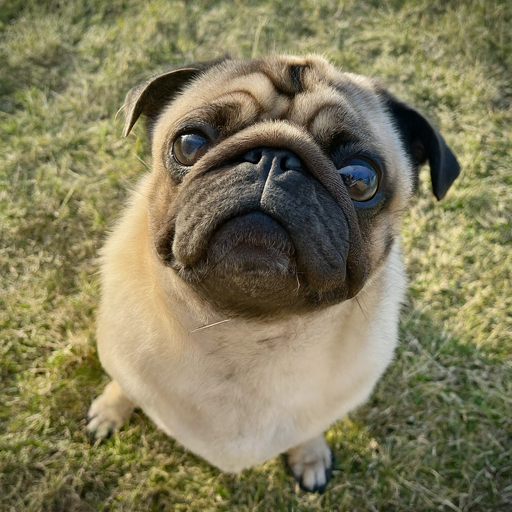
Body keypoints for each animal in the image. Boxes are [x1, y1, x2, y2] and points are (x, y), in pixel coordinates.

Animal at [85, 55, 460, 492]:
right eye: (189, 144)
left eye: (360, 178)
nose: (274, 159)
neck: (245, 331)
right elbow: (124, 385)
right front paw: (111, 409)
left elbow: (310, 428)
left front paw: (309, 455)